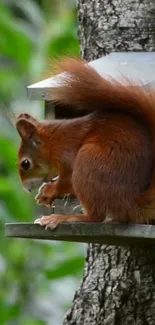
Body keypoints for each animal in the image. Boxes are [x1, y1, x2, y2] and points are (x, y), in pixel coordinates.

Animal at [15, 58, 155, 228]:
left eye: (25, 164)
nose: (26, 189)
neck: (54, 143)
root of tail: (130, 202)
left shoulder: (67, 154)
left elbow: (66, 180)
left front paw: (49, 190)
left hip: (88, 162)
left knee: (95, 217)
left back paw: (63, 217)